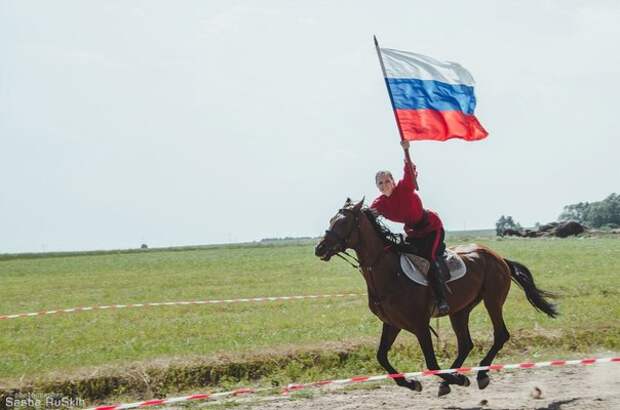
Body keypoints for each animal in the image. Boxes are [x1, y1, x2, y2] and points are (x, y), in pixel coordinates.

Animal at [314, 199, 556, 398]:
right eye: (331, 221)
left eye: (342, 223)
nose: (320, 248)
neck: (389, 273)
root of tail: (498, 257)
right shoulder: (392, 324)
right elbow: (381, 357)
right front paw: (412, 383)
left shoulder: (420, 325)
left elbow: (431, 363)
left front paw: (457, 378)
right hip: (460, 310)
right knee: (465, 343)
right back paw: (451, 380)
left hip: (492, 300)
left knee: (500, 335)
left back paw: (479, 375)